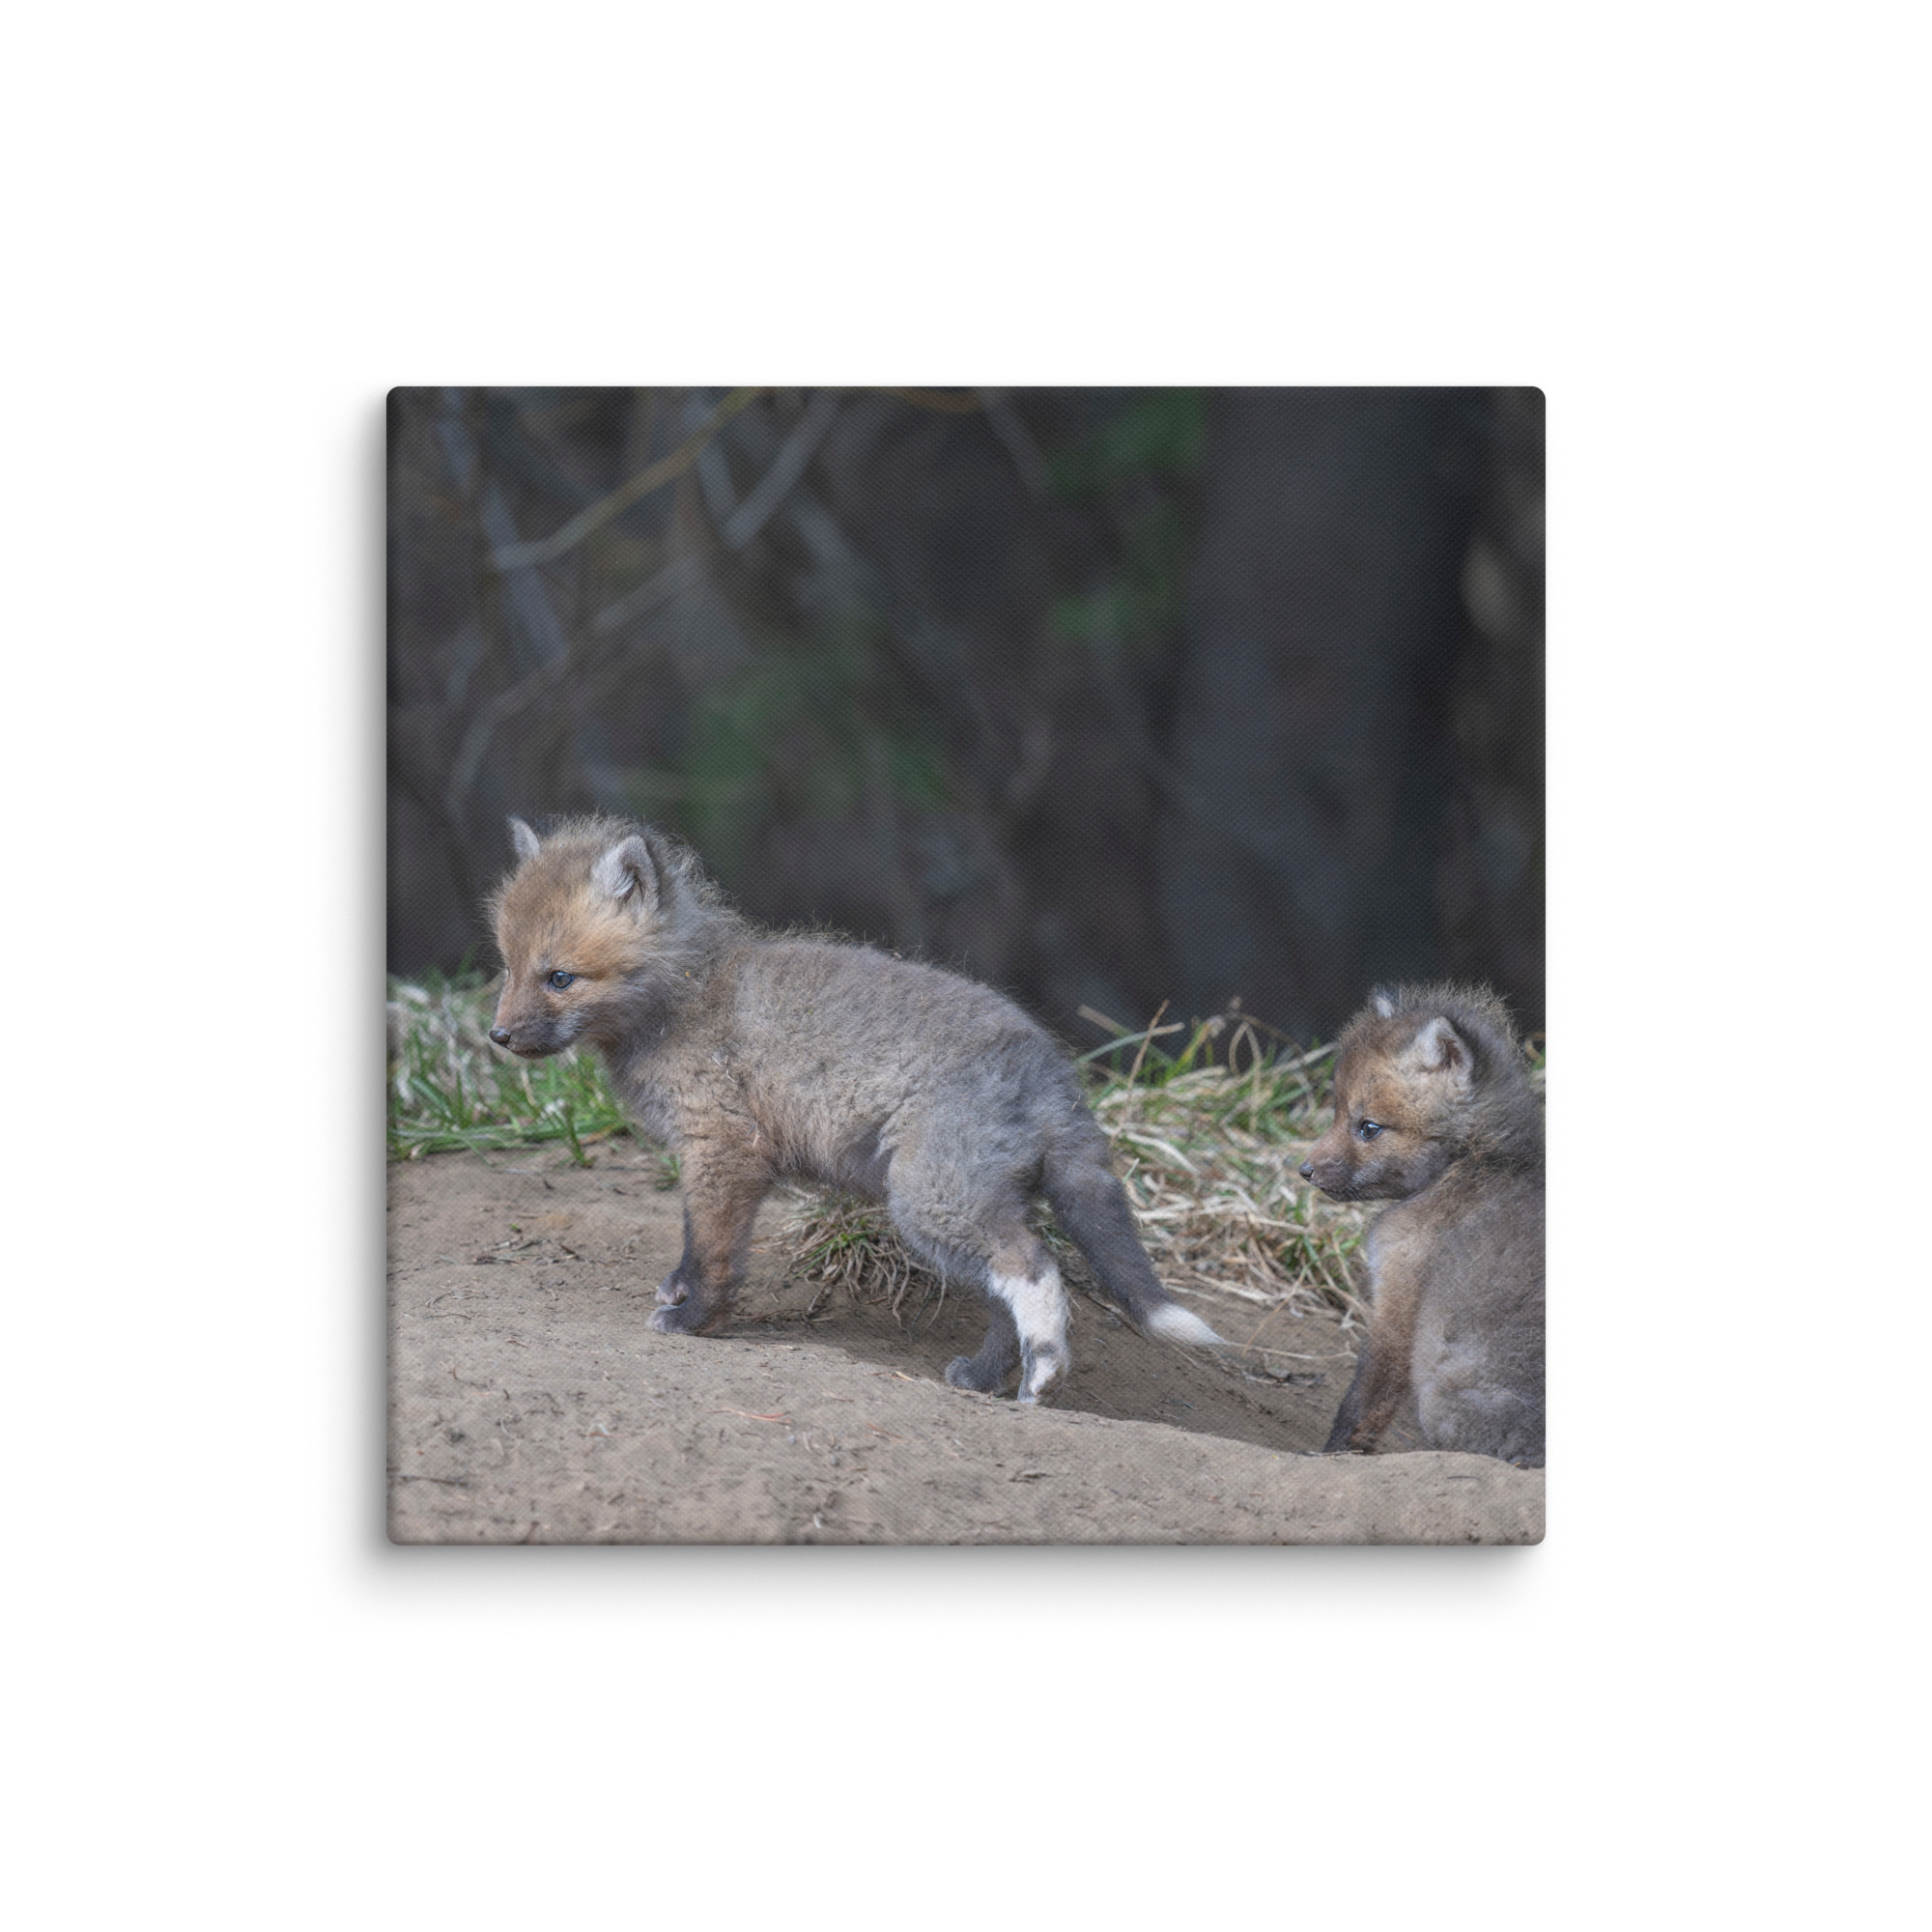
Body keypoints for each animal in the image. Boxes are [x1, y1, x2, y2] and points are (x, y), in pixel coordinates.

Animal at [486, 814, 1224, 1403]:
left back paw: (1044, 1375)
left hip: (930, 1202)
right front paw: (681, 1293)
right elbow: (696, 1241)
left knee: (1035, 1268)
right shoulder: (717, 1157)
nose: (497, 1037)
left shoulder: (724, 1148)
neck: (685, 996)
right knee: (1003, 1298)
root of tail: (1052, 1070)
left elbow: (713, 1251)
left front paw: (695, 1319)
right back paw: (985, 1379)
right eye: (508, 967)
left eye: (559, 977)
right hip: (963, 1209)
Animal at [1299, 982, 1544, 1467]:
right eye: (1336, 1112)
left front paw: (1332, 1457)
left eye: (1369, 1127)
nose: (1304, 1170)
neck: (1468, 1162)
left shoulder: (1399, 1300)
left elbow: (1362, 1403)